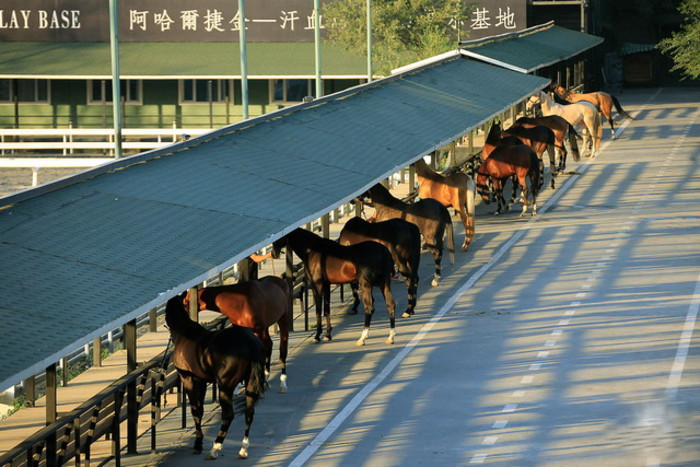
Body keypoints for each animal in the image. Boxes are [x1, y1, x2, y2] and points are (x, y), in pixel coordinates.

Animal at [165, 296, 266, 460]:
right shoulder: (201, 381)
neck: (184, 333)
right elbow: (199, 409)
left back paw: (216, 448)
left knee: (228, 415)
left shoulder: (188, 378)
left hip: (225, 386)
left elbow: (195, 409)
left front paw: (198, 445)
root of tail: (251, 343)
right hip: (251, 381)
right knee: (249, 412)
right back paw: (243, 448)